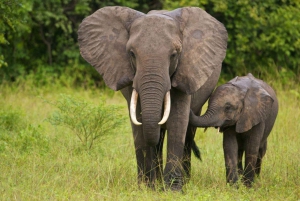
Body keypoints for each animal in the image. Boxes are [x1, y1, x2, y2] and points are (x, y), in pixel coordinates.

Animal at [77, 6, 227, 191]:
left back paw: (183, 181)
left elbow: (178, 120)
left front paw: (173, 190)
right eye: (132, 54)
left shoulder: (186, 70)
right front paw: (145, 188)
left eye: (174, 54)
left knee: (187, 132)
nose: (152, 183)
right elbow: (138, 122)